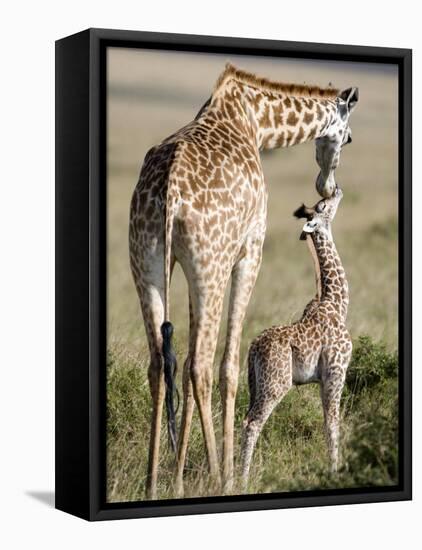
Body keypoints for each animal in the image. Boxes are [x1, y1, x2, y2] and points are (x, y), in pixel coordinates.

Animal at [241, 188, 352, 490]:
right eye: (323, 205)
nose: (337, 190)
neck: (337, 303)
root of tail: (252, 349)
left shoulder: (323, 378)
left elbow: (327, 421)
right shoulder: (336, 371)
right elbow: (332, 423)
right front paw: (335, 472)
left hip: (255, 383)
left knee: (244, 419)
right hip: (276, 384)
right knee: (253, 423)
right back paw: (239, 481)